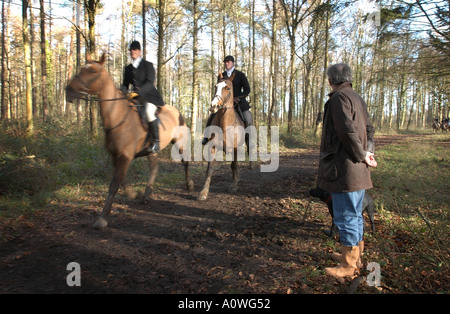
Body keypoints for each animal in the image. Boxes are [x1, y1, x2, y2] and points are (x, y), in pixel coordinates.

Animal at [65, 53, 193, 228]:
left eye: (92, 71)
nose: (68, 91)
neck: (117, 116)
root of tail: (177, 111)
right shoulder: (116, 155)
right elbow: (122, 181)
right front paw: (134, 194)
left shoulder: (125, 156)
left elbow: (114, 185)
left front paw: (102, 218)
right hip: (151, 151)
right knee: (155, 168)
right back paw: (146, 195)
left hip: (178, 142)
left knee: (185, 162)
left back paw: (190, 186)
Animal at [198, 72, 246, 200]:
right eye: (215, 87)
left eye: (228, 88)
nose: (213, 105)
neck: (225, 125)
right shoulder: (213, 147)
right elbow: (210, 169)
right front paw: (204, 192)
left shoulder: (235, 149)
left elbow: (234, 166)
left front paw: (234, 186)